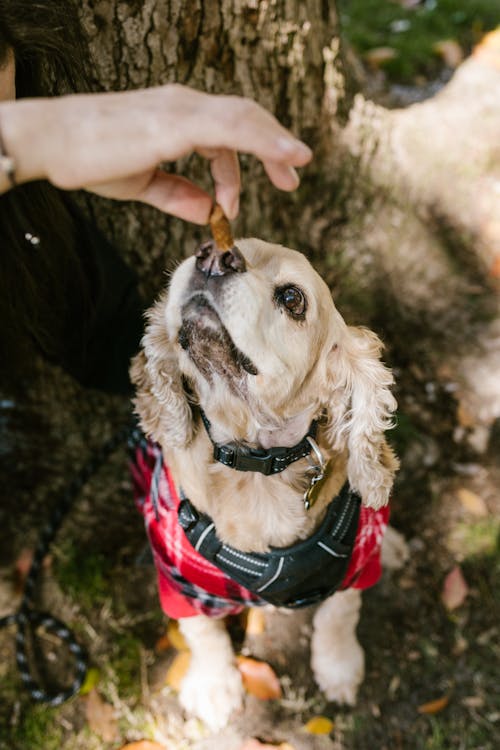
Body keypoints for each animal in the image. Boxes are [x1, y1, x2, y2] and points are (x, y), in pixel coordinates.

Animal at [131, 238, 408, 732]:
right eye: (208, 244)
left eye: (293, 298)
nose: (212, 257)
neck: (256, 468)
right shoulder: (180, 577)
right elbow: (202, 631)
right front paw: (214, 687)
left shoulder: (354, 564)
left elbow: (340, 614)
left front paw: (339, 669)